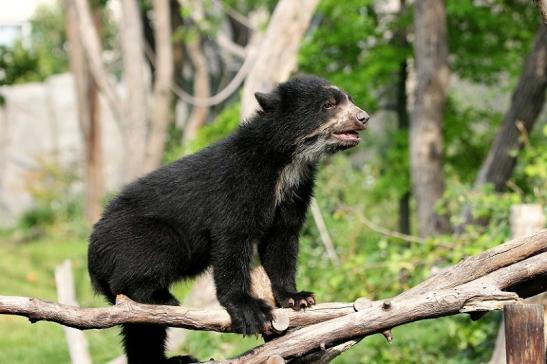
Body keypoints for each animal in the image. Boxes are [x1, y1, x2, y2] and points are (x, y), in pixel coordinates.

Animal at [88, 74, 370, 364]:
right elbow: (233, 238)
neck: (287, 160)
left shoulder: (295, 191)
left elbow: (282, 240)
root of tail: (93, 258)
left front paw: (297, 298)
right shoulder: (239, 183)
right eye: (329, 105)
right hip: (139, 239)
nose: (364, 117)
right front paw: (250, 311)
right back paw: (160, 298)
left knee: (141, 328)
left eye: (349, 99)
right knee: (145, 266)